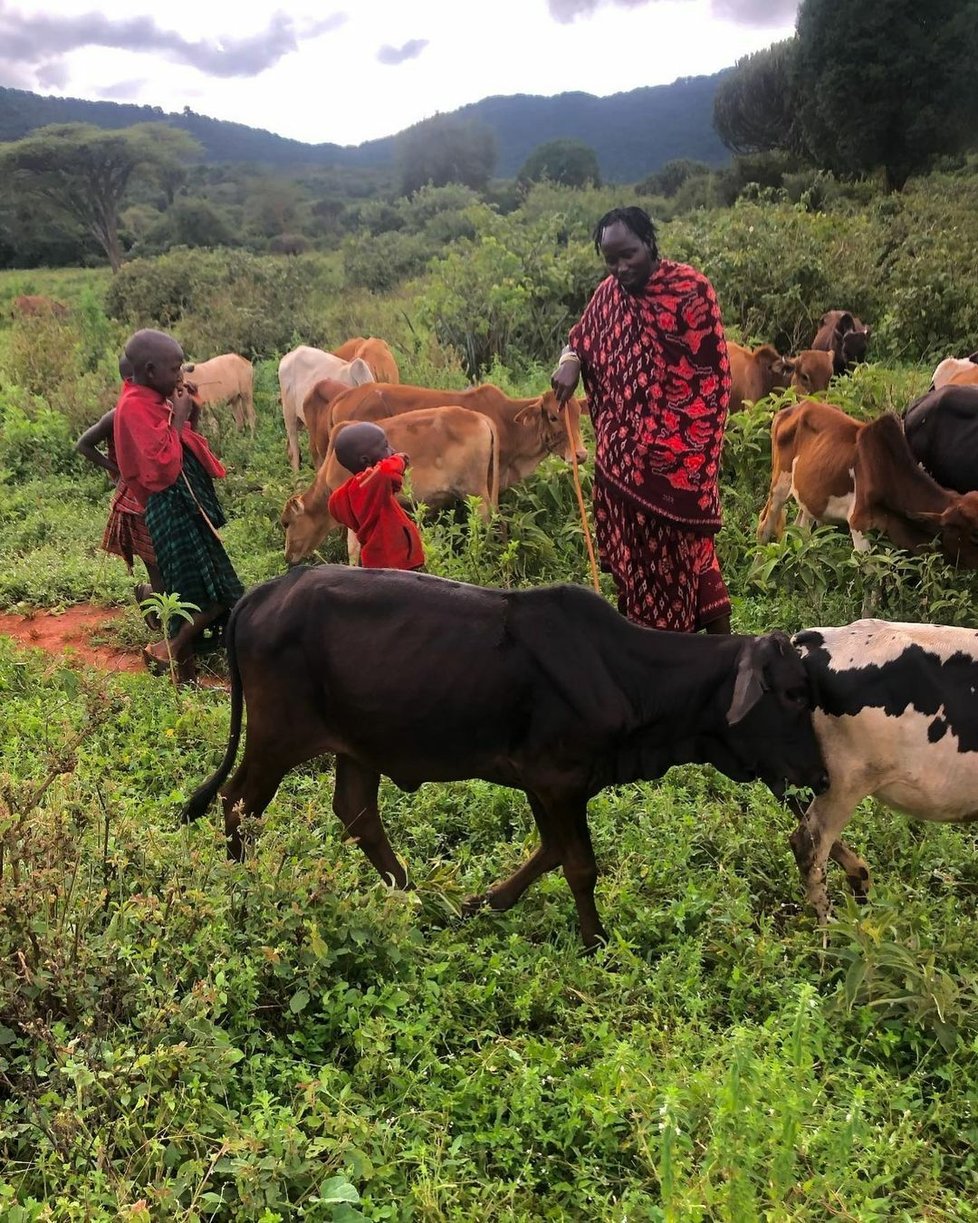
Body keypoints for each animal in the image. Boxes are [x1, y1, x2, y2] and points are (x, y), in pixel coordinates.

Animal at [180, 562, 826, 944]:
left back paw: (411, 894)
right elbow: (579, 864)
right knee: (238, 803)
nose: (821, 774)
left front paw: (481, 903)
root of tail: (263, 593)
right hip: (276, 738)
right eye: (794, 695)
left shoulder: (546, 783)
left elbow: (550, 853)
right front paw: (595, 941)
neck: (624, 672)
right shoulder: (559, 779)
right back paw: (244, 887)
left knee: (358, 813)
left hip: (357, 744)